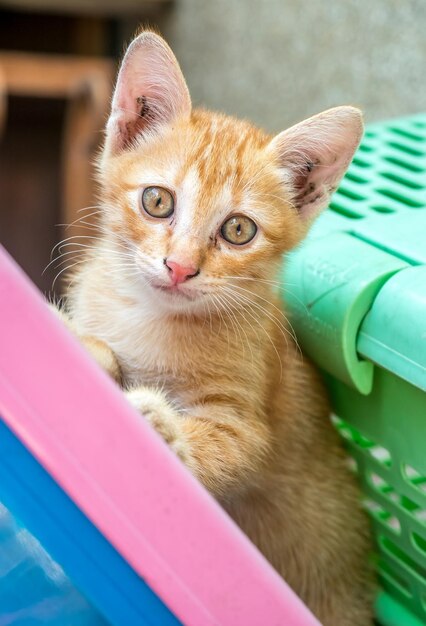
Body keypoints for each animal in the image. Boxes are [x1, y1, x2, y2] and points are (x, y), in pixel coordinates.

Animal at [59, 31, 372, 624]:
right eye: (157, 201)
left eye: (238, 230)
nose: (180, 267)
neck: (150, 317)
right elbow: (100, 347)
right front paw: (87, 348)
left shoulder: (246, 422)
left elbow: (223, 445)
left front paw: (157, 424)